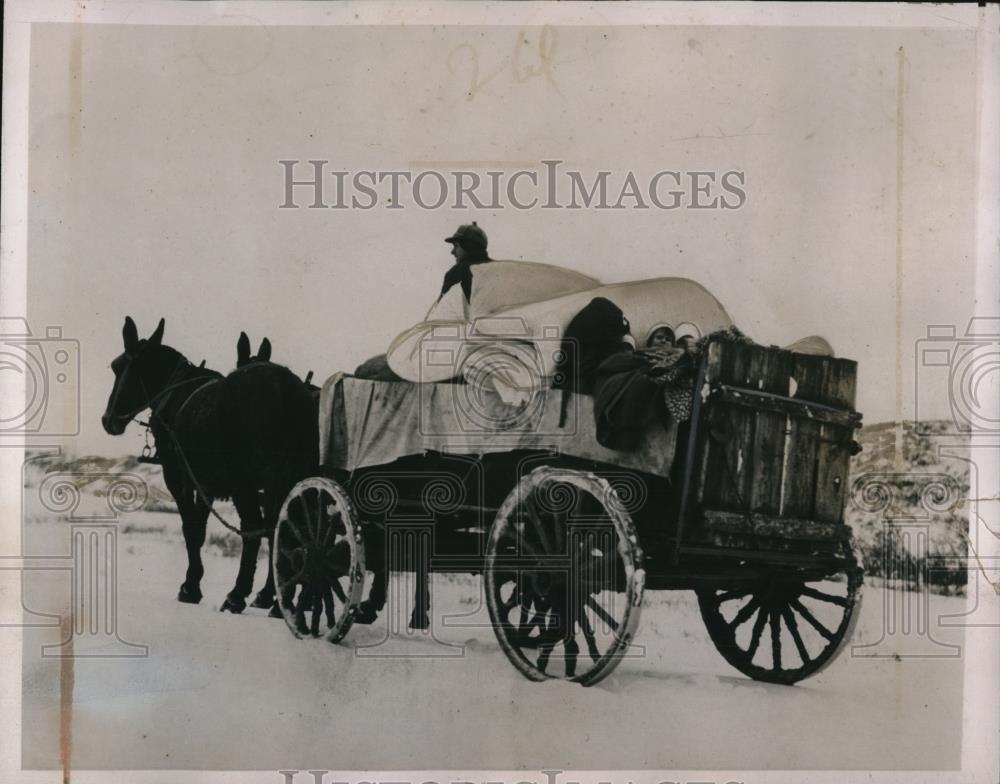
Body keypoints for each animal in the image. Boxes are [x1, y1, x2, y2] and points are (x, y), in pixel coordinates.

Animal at [99, 316, 314, 608]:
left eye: (117, 366)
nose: (108, 420)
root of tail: (284, 388)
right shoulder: (206, 484)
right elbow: (200, 529)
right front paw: (194, 582)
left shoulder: (177, 476)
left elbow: (190, 529)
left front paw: (190, 587)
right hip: (286, 480)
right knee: (283, 529)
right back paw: (278, 597)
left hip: (245, 482)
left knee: (255, 528)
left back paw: (238, 595)